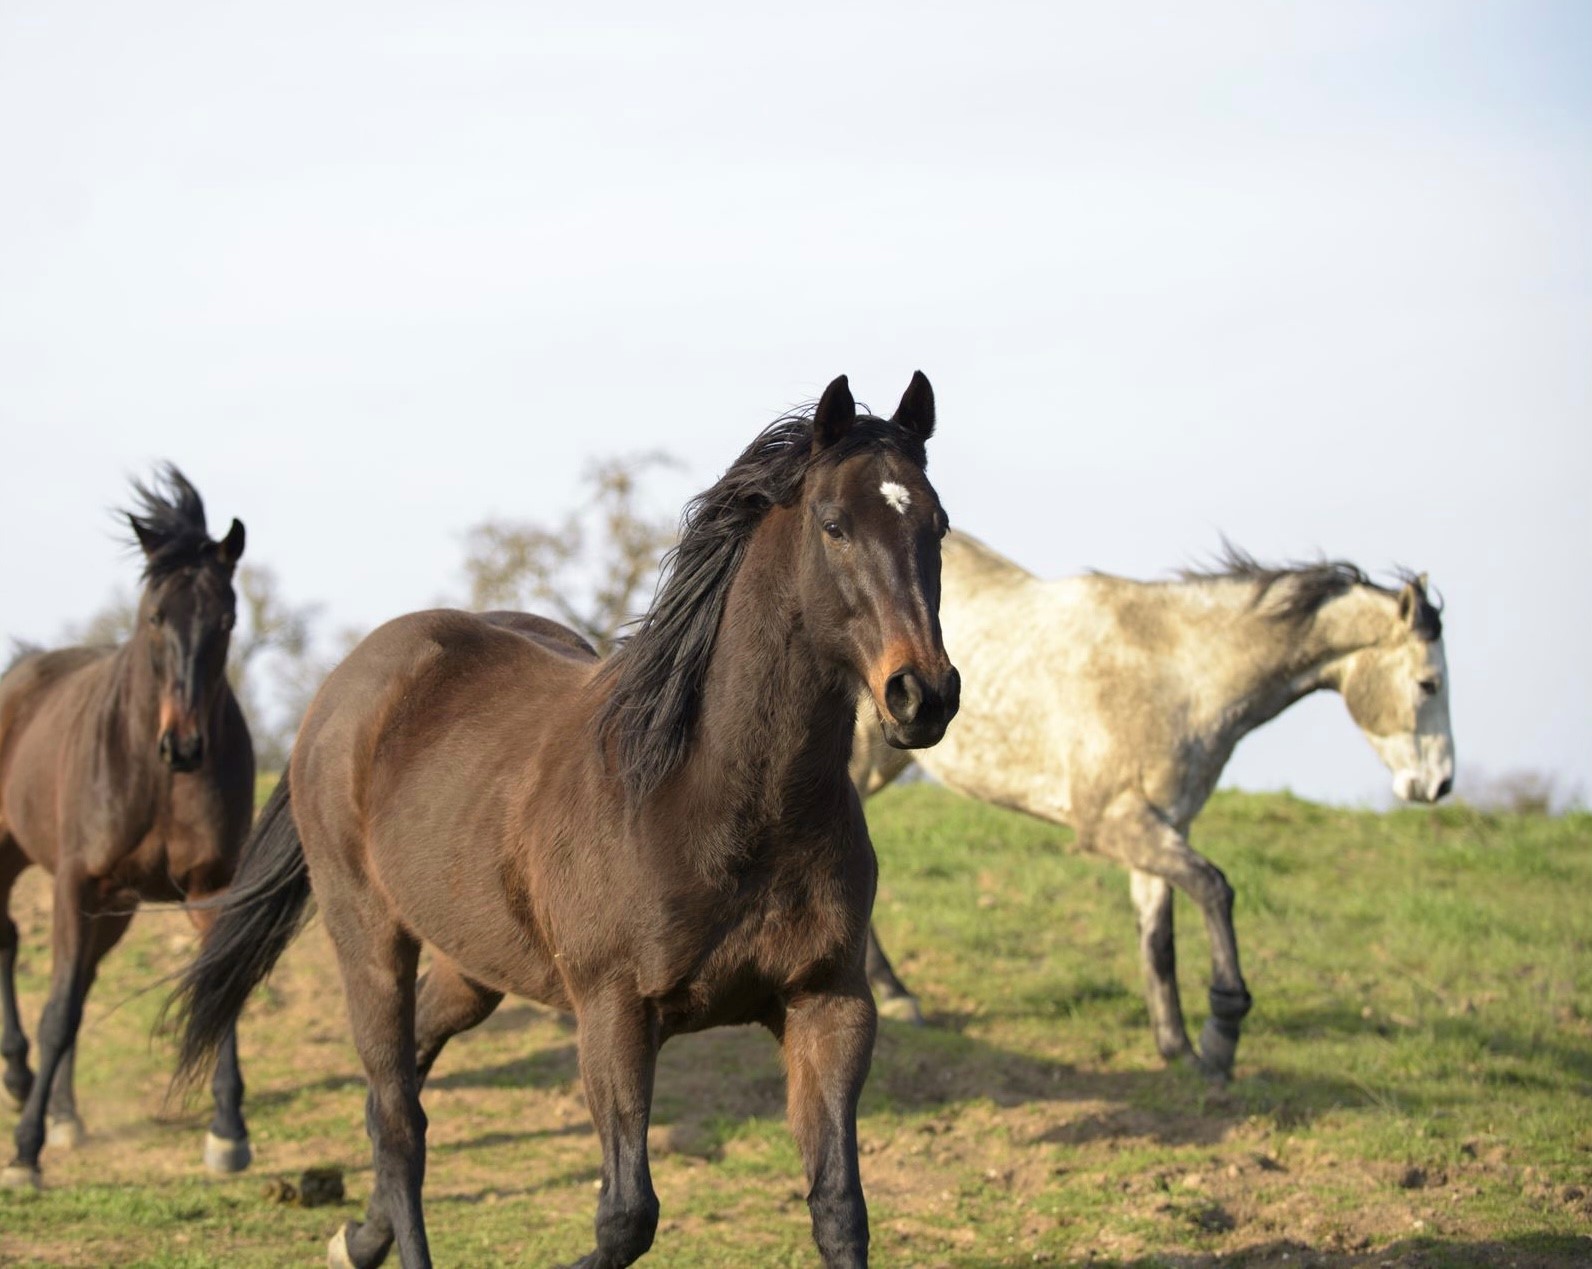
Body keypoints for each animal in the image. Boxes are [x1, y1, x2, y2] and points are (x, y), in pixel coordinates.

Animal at [0, 466, 255, 1189]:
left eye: (226, 617)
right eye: (155, 616)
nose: (184, 746)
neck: (154, 775)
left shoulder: (211, 884)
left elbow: (219, 987)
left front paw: (227, 1133)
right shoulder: (74, 884)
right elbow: (58, 1011)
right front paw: (24, 1153)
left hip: (112, 911)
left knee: (79, 981)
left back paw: (64, 1112)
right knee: (17, 949)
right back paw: (22, 1083)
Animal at [167, 373, 958, 1269]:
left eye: (937, 523)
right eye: (834, 524)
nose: (922, 694)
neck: (714, 800)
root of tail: (345, 683)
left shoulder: (829, 1004)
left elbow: (839, 1207)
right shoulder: (614, 1012)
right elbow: (626, 1214)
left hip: (473, 965)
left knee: (397, 1089)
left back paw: (355, 1238)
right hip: (367, 935)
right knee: (400, 1123)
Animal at [852, 530, 1453, 1077]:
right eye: (1428, 684)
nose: (1439, 785)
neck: (1176, 675)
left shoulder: (1163, 825)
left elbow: (1159, 938)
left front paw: (1177, 1049)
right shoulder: (1111, 824)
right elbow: (1215, 888)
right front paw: (1221, 1035)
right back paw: (894, 993)